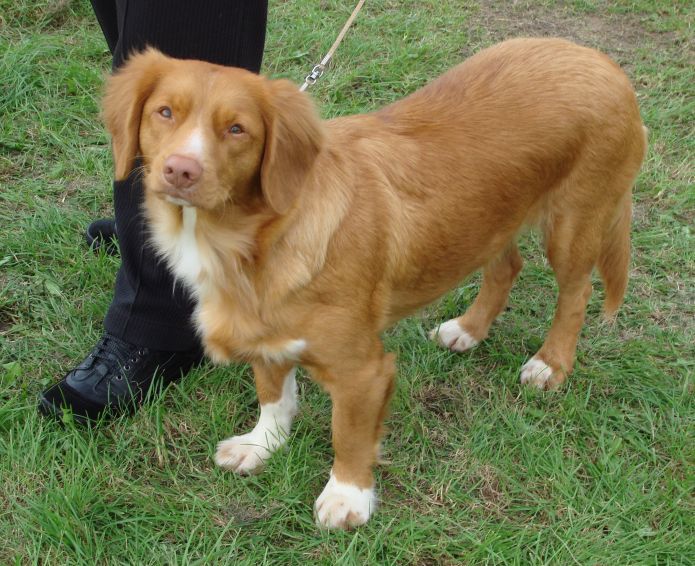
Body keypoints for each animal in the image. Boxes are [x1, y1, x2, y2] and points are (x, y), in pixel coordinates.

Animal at [102, 37, 648, 532]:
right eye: (165, 112)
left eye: (237, 129)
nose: (180, 170)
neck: (252, 241)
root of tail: (600, 61)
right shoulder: (264, 332)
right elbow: (273, 393)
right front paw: (263, 444)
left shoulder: (363, 373)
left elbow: (349, 435)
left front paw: (348, 497)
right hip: (490, 219)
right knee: (505, 266)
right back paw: (469, 330)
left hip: (574, 223)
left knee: (575, 294)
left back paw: (550, 363)